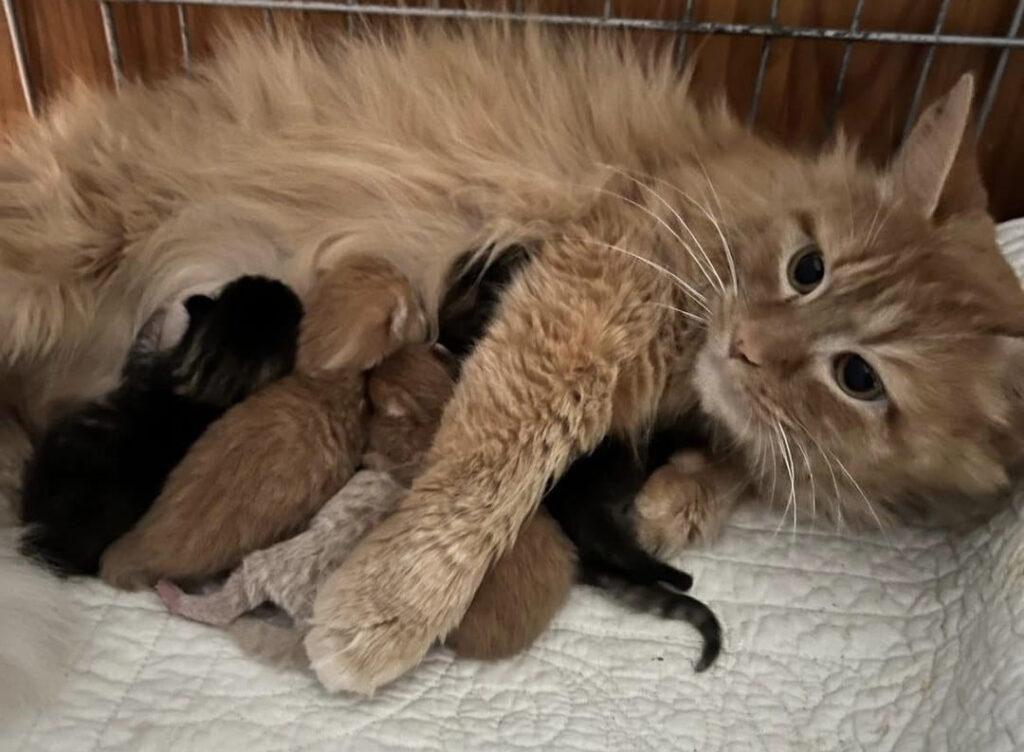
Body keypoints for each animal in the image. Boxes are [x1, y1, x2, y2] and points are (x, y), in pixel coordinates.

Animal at [19, 276, 301, 577]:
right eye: (252, 282)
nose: (280, 283)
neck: (212, 380)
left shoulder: (144, 368)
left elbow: (141, 346)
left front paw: (158, 314)